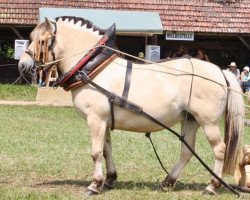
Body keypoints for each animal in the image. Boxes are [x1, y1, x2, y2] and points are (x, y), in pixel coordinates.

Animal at [17, 16, 244, 195]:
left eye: (41, 41)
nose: (22, 65)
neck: (94, 68)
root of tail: (220, 71)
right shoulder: (104, 121)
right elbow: (107, 150)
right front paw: (109, 179)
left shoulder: (95, 120)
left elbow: (96, 152)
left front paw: (94, 185)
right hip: (190, 120)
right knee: (186, 152)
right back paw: (168, 181)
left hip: (208, 122)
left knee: (219, 150)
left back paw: (212, 186)